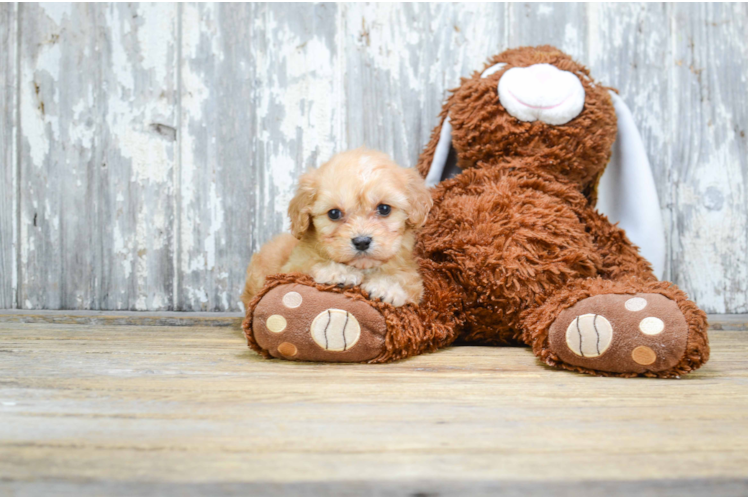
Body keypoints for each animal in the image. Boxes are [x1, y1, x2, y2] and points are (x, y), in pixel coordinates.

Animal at [240, 147, 432, 308]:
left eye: (384, 209)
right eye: (334, 213)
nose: (362, 242)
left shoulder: (409, 271)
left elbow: (409, 281)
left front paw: (387, 288)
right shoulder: (291, 267)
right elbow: (310, 263)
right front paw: (339, 273)